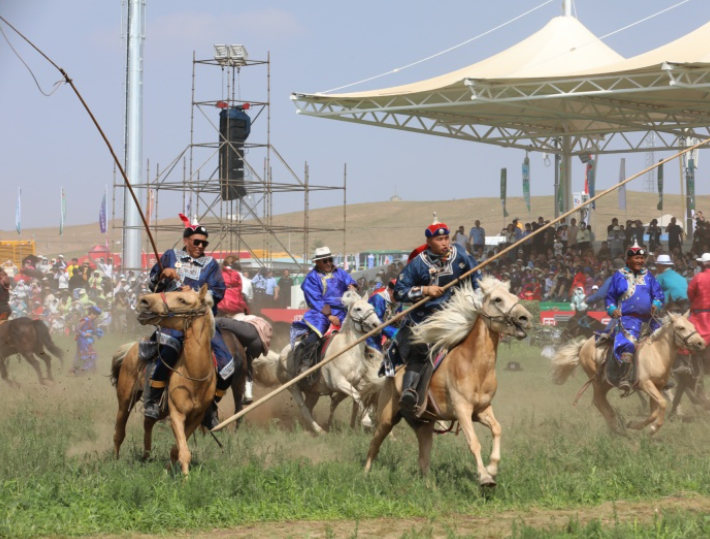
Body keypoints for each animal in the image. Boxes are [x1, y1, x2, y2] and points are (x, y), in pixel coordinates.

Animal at [110, 286, 246, 476]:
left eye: (182, 300)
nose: (144, 301)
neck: (194, 376)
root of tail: (133, 347)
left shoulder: (196, 418)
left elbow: (178, 449)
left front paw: (168, 471)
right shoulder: (177, 414)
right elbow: (183, 450)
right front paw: (185, 478)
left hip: (160, 409)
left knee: (148, 423)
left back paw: (146, 457)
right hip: (125, 399)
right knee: (119, 431)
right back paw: (115, 461)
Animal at [253, 292, 382, 434]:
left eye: (372, 307)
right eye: (358, 309)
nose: (376, 324)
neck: (347, 351)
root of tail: (279, 358)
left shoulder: (357, 383)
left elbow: (359, 398)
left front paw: (360, 422)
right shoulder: (339, 383)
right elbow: (357, 397)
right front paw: (367, 421)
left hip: (312, 392)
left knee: (309, 407)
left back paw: (309, 429)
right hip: (293, 387)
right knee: (303, 408)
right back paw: (319, 430)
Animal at [362, 280, 536, 488]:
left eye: (515, 297)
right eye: (497, 299)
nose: (526, 318)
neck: (474, 366)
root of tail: (391, 373)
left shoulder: (482, 410)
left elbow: (497, 429)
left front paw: (492, 468)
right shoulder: (462, 410)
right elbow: (473, 442)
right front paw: (484, 477)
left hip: (424, 424)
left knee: (423, 460)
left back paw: (431, 488)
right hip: (387, 418)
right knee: (374, 446)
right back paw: (364, 475)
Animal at [552, 312, 708, 438]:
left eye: (692, 325)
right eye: (681, 328)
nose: (700, 343)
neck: (656, 353)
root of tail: (584, 344)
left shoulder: (657, 387)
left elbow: (654, 413)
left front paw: (635, 425)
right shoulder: (646, 384)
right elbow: (662, 403)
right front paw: (652, 429)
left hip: (607, 382)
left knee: (601, 399)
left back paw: (617, 422)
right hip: (596, 379)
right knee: (597, 400)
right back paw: (615, 425)